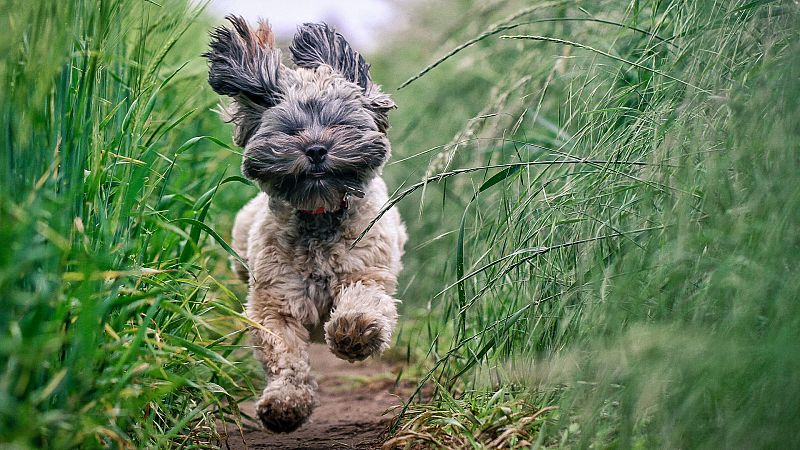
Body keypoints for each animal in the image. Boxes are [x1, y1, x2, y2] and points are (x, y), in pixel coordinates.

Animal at [203, 16, 406, 432]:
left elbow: (365, 299)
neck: (320, 214)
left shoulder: (368, 271)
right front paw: (286, 403)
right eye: (290, 129)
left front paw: (353, 333)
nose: (315, 149)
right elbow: (283, 352)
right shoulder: (276, 301)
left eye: (339, 123)